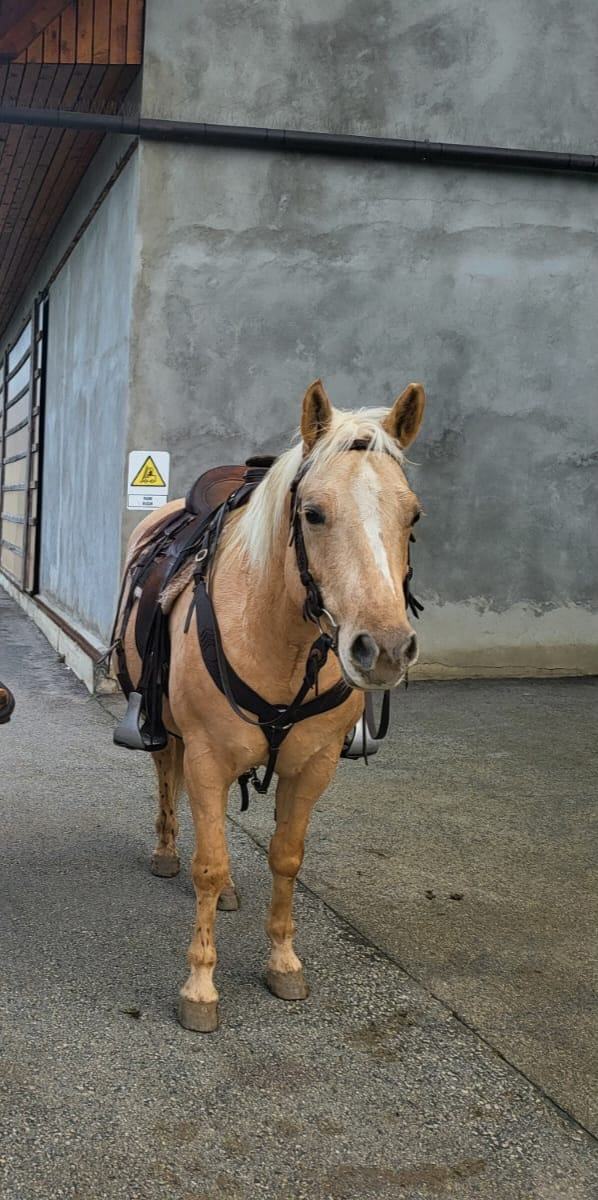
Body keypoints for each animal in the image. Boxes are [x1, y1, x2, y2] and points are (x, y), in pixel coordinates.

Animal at [116, 379, 425, 1031]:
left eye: (413, 515)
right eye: (313, 513)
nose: (384, 648)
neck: (279, 639)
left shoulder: (313, 767)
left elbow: (286, 858)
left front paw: (283, 961)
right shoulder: (206, 756)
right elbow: (206, 863)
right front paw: (200, 987)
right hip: (170, 731)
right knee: (166, 774)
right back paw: (166, 851)